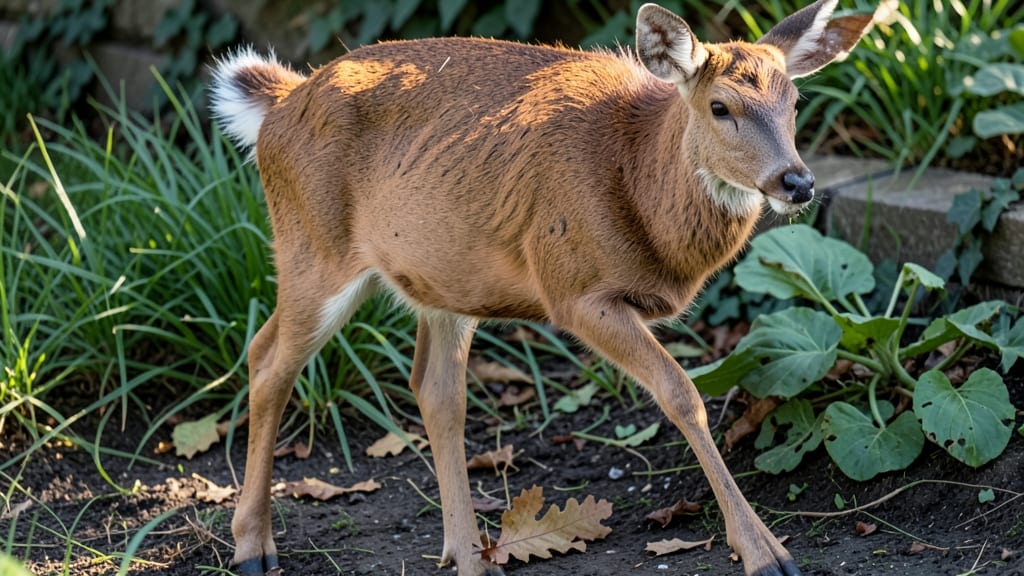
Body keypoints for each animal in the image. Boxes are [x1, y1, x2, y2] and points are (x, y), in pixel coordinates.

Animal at [209, 1, 875, 574]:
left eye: (794, 101)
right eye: (719, 106)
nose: (796, 181)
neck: (637, 180)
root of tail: (281, 105)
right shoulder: (573, 289)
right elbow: (682, 394)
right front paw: (767, 554)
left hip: (444, 281)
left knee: (435, 388)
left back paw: (468, 555)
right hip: (312, 247)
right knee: (267, 359)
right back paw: (253, 549)